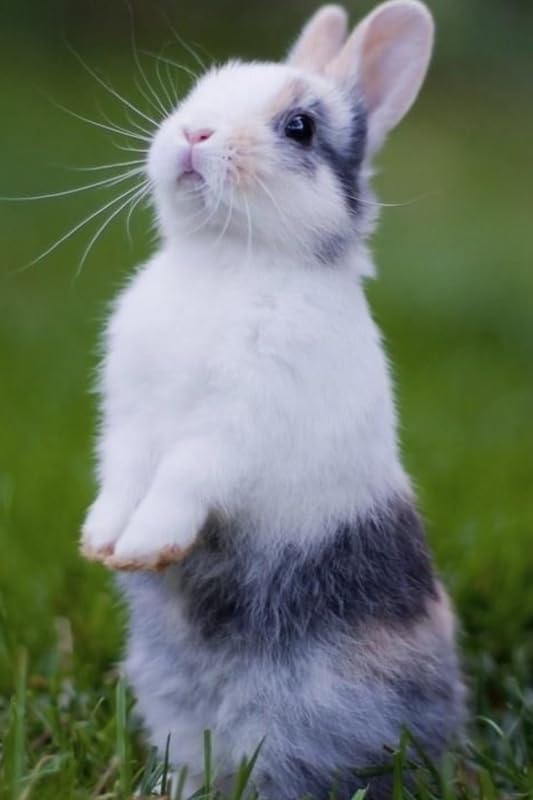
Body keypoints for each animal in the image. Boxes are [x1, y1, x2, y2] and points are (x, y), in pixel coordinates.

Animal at [81, 2, 466, 798]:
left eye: (299, 127)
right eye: (199, 91)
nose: (194, 134)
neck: (226, 257)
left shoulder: (234, 428)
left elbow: (180, 478)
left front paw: (145, 546)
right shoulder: (129, 418)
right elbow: (123, 475)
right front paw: (104, 544)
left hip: (308, 714)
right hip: (172, 704)